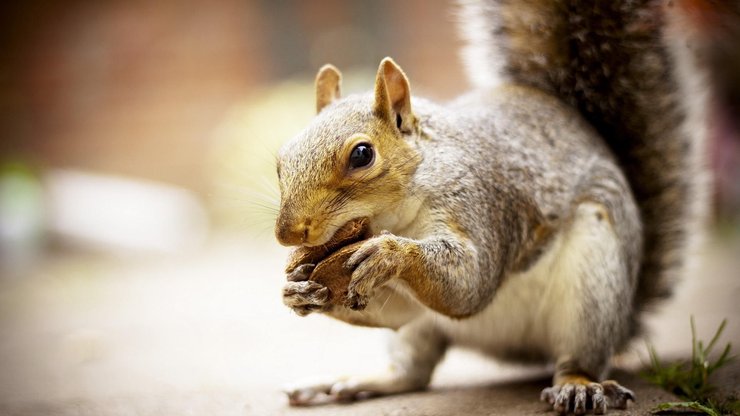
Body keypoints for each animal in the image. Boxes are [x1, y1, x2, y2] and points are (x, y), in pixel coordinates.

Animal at [274, 0, 708, 414]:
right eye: (281, 159)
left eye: (362, 155)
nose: (288, 234)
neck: (397, 215)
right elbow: (396, 310)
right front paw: (298, 289)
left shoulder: (481, 203)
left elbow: (471, 282)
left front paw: (389, 253)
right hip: (425, 330)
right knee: (412, 371)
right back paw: (350, 382)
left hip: (594, 284)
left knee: (578, 356)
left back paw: (578, 385)